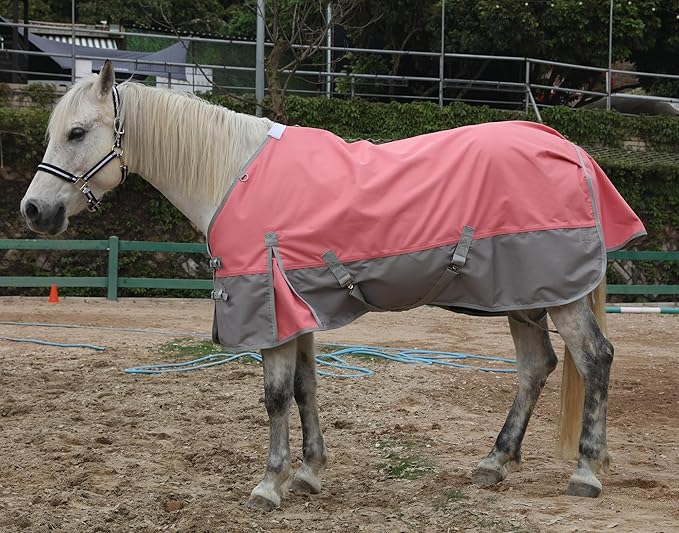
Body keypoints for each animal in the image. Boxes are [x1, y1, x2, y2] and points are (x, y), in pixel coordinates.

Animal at [21, 61, 646, 511]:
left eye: (77, 132)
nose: (34, 211)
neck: (232, 173)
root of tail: (568, 147)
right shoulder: (296, 310)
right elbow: (305, 388)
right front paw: (309, 473)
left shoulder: (268, 309)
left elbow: (274, 396)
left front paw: (269, 485)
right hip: (524, 296)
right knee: (536, 366)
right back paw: (494, 463)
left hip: (559, 295)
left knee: (594, 358)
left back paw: (585, 472)